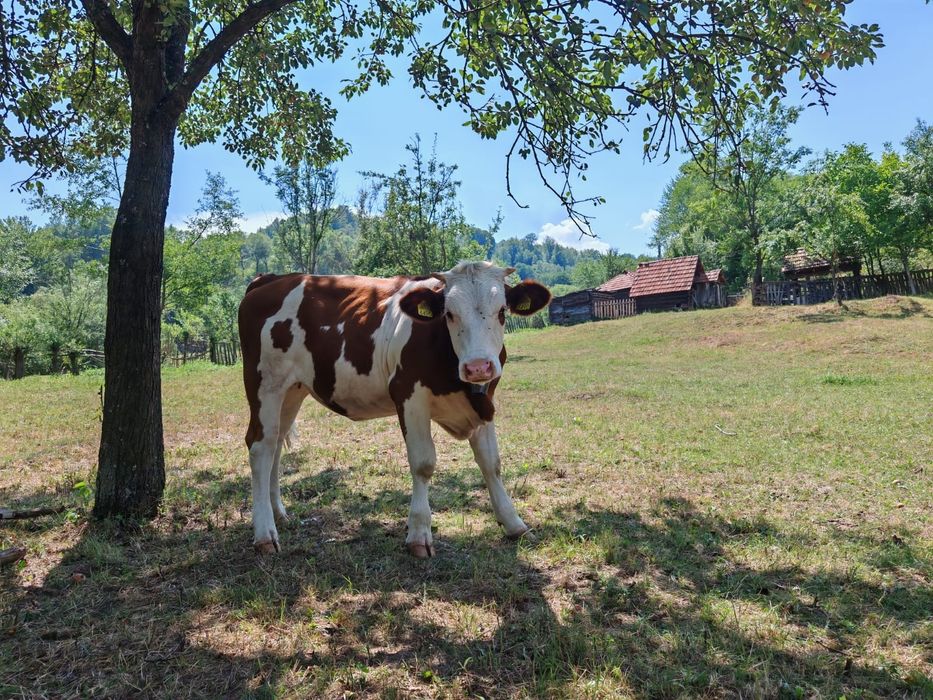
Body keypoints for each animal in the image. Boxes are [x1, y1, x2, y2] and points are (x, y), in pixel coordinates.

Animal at [238, 261, 551, 557]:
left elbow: (491, 463)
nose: (478, 367)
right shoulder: (409, 396)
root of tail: (272, 279)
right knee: (261, 447)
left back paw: (278, 512)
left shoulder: (484, 402)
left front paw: (514, 524)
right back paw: (265, 533)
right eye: (449, 314)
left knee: (276, 443)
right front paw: (419, 534)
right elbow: (423, 463)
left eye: (502, 311)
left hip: (292, 390)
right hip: (264, 385)